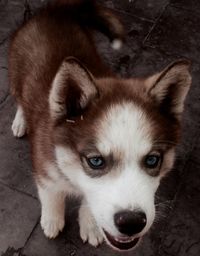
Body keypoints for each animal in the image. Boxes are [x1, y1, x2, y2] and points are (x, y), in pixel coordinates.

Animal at [8, 0, 191, 252]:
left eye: (153, 160)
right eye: (96, 161)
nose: (132, 222)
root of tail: (55, 11)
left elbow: (89, 201)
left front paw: (91, 224)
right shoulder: (44, 167)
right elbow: (51, 195)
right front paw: (52, 219)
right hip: (16, 72)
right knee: (19, 97)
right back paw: (21, 120)